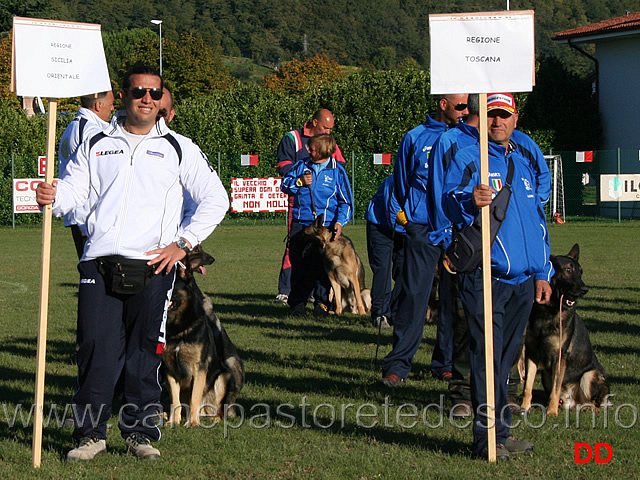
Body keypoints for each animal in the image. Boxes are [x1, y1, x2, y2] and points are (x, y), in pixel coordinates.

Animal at [162, 246, 245, 426]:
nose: (211, 259)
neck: (178, 328)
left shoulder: (199, 367)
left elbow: (194, 397)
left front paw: (192, 424)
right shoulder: (169, 369)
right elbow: (175, 400)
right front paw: (174, 422)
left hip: (224, 374)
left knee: (219, 411)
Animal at [524, 244, 608, 416]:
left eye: (581, 272)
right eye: (568, 270)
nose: (585, 289)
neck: (547, 311)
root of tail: (573, 402)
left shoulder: (559, 357)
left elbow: (554, 391)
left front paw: (551, 413)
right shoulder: (531, 354)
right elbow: (527, 386)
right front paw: (524, 407)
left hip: (589, 375)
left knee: (597, 405)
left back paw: (586, 407)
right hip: (546, 374)